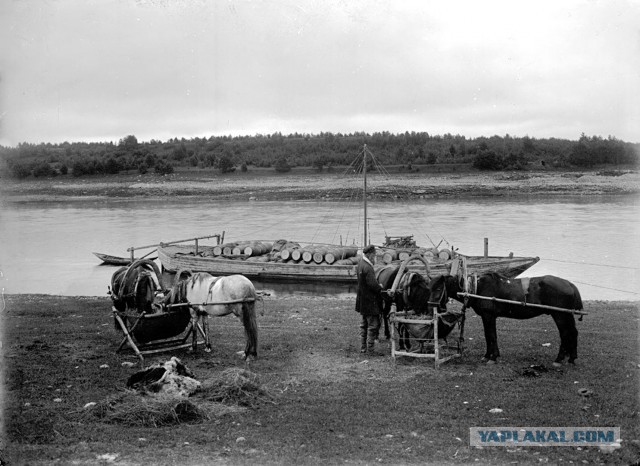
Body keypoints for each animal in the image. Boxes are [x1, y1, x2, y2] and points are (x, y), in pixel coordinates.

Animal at [430, 272, 584, 366]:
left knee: (565, 334)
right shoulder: (488, 317)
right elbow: (489, 336)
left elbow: (491, 335)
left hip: (559, 315)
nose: (431, 305)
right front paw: (489, 355)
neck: (477, 288)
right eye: (430, 288)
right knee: (573, 332)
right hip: (566, 315)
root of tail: (570, 284)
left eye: (438, 289)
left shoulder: (488, 316)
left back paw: (559, 359)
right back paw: (571, 357)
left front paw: (492, 357)